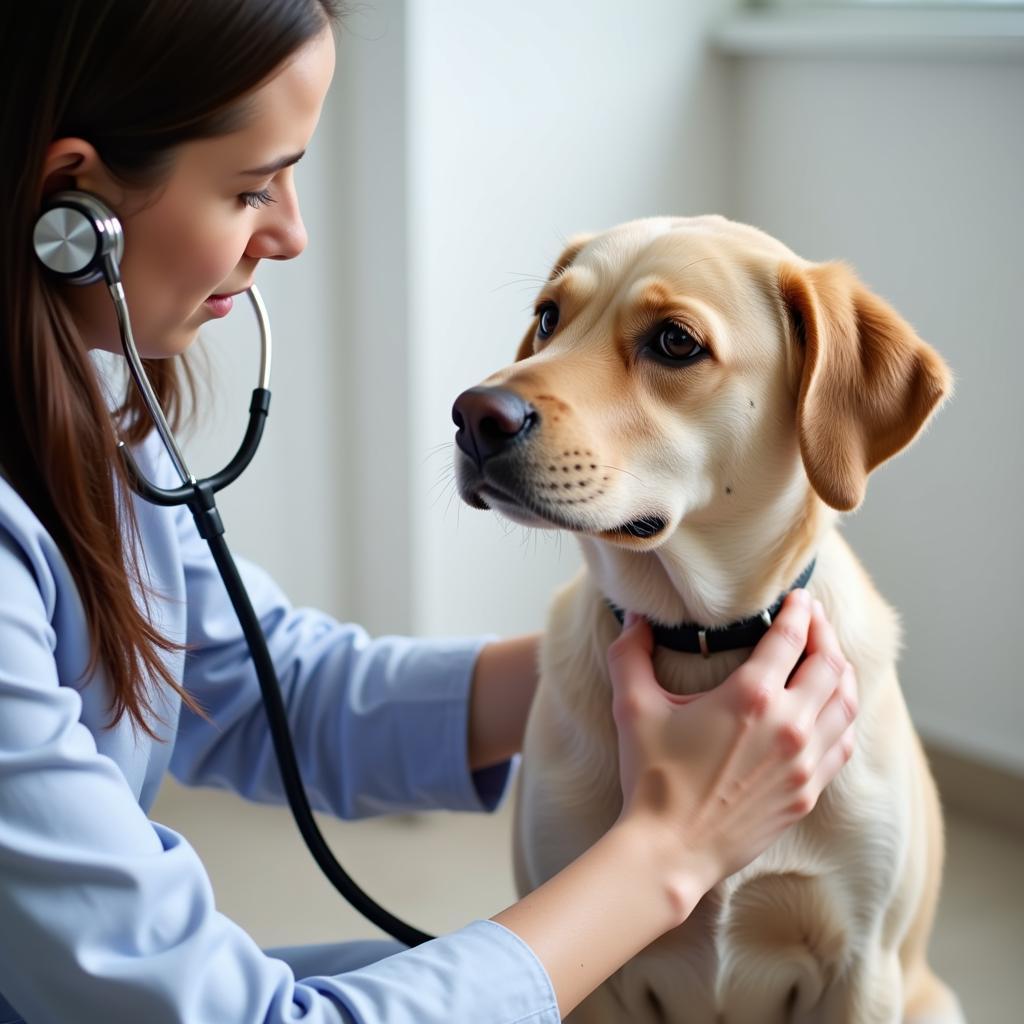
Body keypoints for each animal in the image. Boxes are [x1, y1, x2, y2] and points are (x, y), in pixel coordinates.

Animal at [452, 211, 962, 1019]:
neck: (703, 640)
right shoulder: (590, 978)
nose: (473, 415)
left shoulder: (863, 966)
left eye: (674, 341)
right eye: (549, 317)